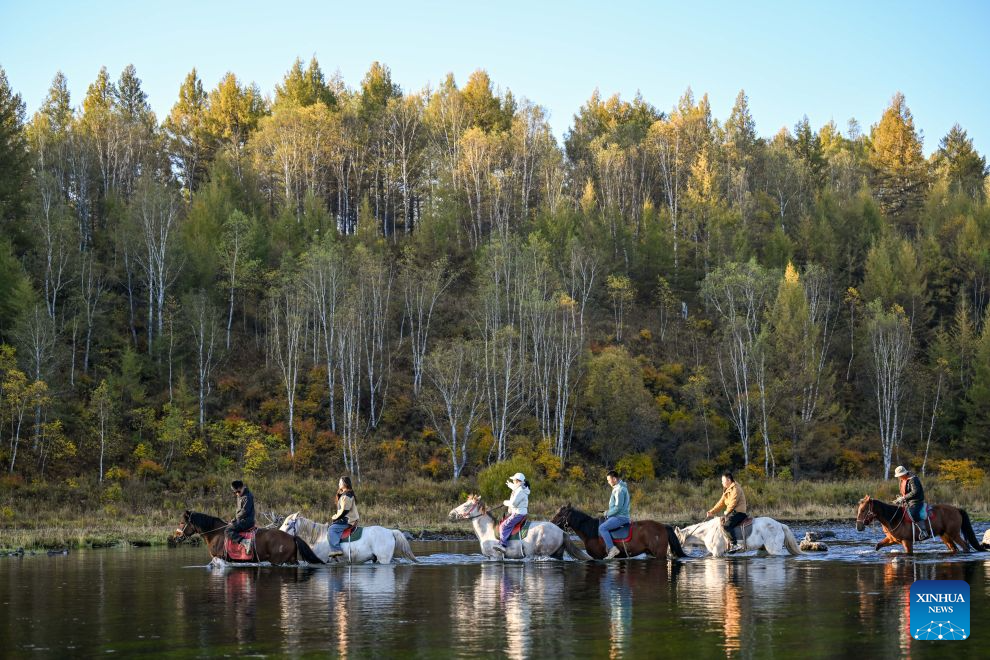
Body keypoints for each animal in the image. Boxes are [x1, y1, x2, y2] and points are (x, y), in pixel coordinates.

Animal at [174, 510, 324, 565]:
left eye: (181, 522)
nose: (176, 536)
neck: (216, 534)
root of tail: (292, 537)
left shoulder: (220, 559)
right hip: (291, 560)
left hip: (278, 560)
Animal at [279, 512, 418, 564]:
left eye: (287, 523)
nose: (279, 533)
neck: (319, 536)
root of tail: (390, 532)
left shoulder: (323, 560)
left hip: (383, 559)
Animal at [448, 495, 591, 560]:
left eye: (466, 505)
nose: (451, 514)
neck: (487, 531)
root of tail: (561, 531)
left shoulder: (495, 557)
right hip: (557, 554)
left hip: (544, 553)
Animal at [549, 504, 685, 561]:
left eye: (560, 514)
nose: (551, 523)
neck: (591, 531)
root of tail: (663, 526)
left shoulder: (598, 557)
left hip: (659, 554)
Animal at [855, 495, 987, 555]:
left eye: (863, 510)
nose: (858, 527)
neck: (893, 518)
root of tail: (957, 509)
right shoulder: (892, 540)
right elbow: (878, 545)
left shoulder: (906, 542)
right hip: (945, 536)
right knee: (954, 548)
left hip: (954, 534)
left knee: (965, 546)